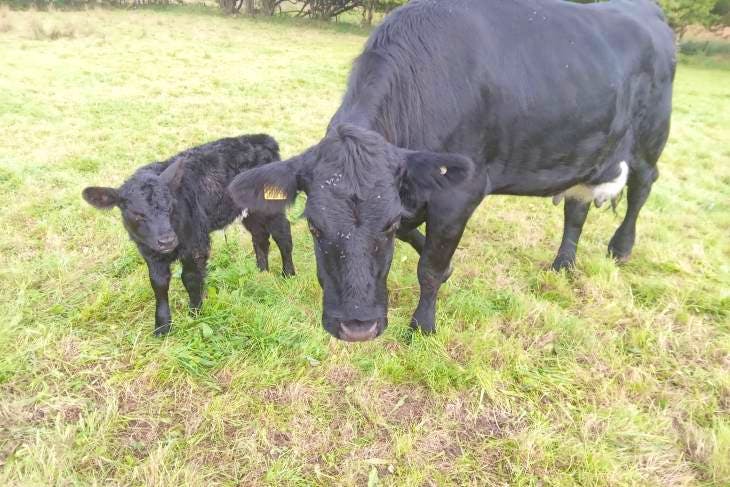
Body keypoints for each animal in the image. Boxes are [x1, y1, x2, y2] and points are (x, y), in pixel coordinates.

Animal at [228, 0, 672, 344]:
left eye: (386, 226)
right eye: (315, 227)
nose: (357, 327)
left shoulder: (460, 193)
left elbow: (430, 268)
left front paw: (422, 326)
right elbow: (423, 245)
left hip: (650, 139)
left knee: (642, 187)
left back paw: (621, 247)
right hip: (589, 153)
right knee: (576, 206)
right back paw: (563, 263)